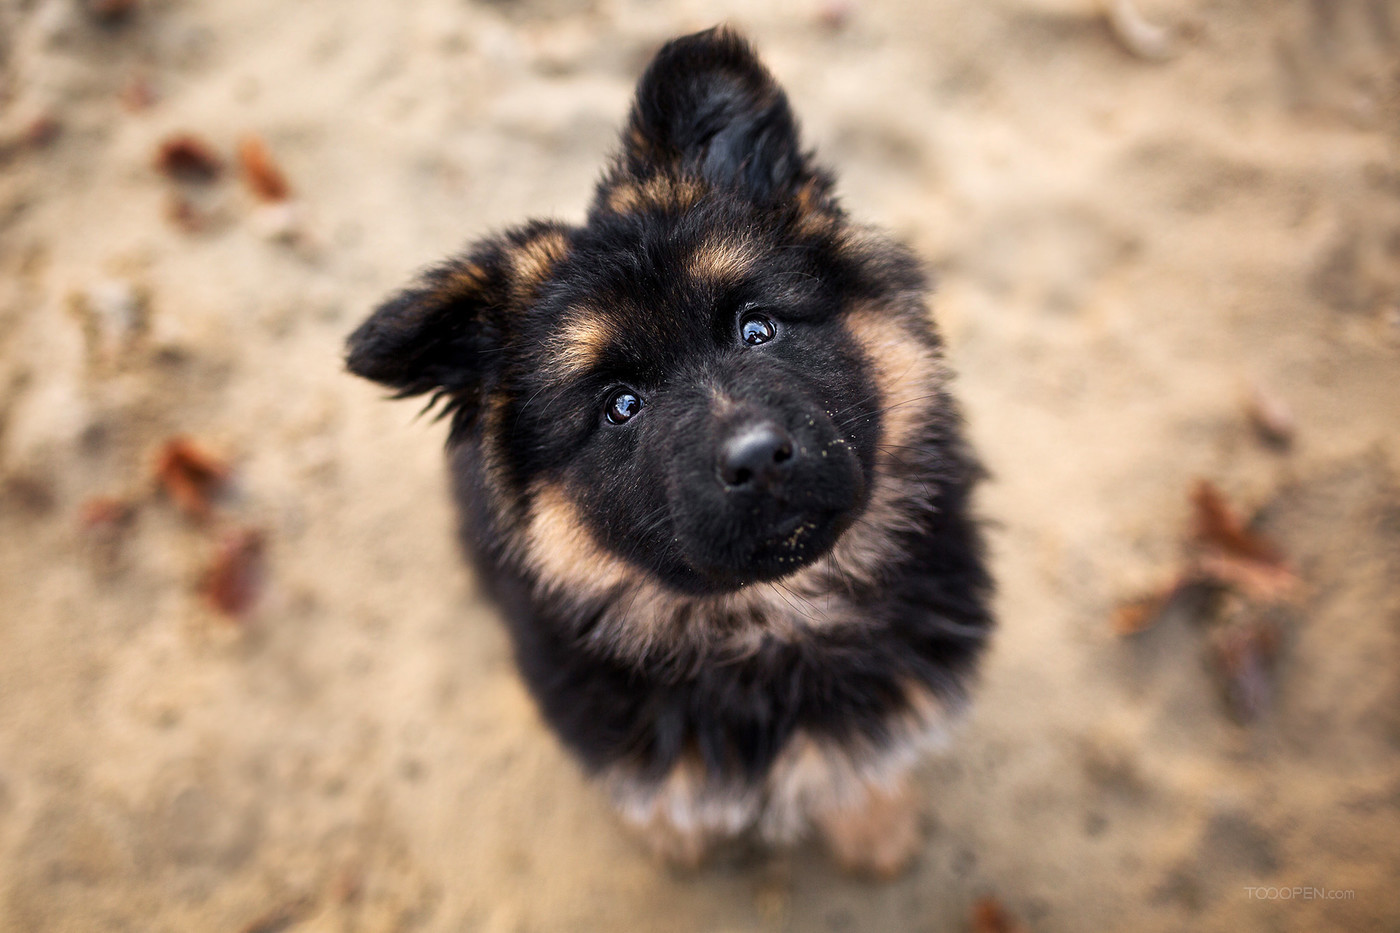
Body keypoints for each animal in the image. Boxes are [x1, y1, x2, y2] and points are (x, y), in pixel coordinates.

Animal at [344, 27, 991, 874]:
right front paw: (673, 834)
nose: (757, 457)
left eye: (758, 327)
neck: (771, 617)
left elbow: (865, 759)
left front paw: (876, 823)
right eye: (620, 406)